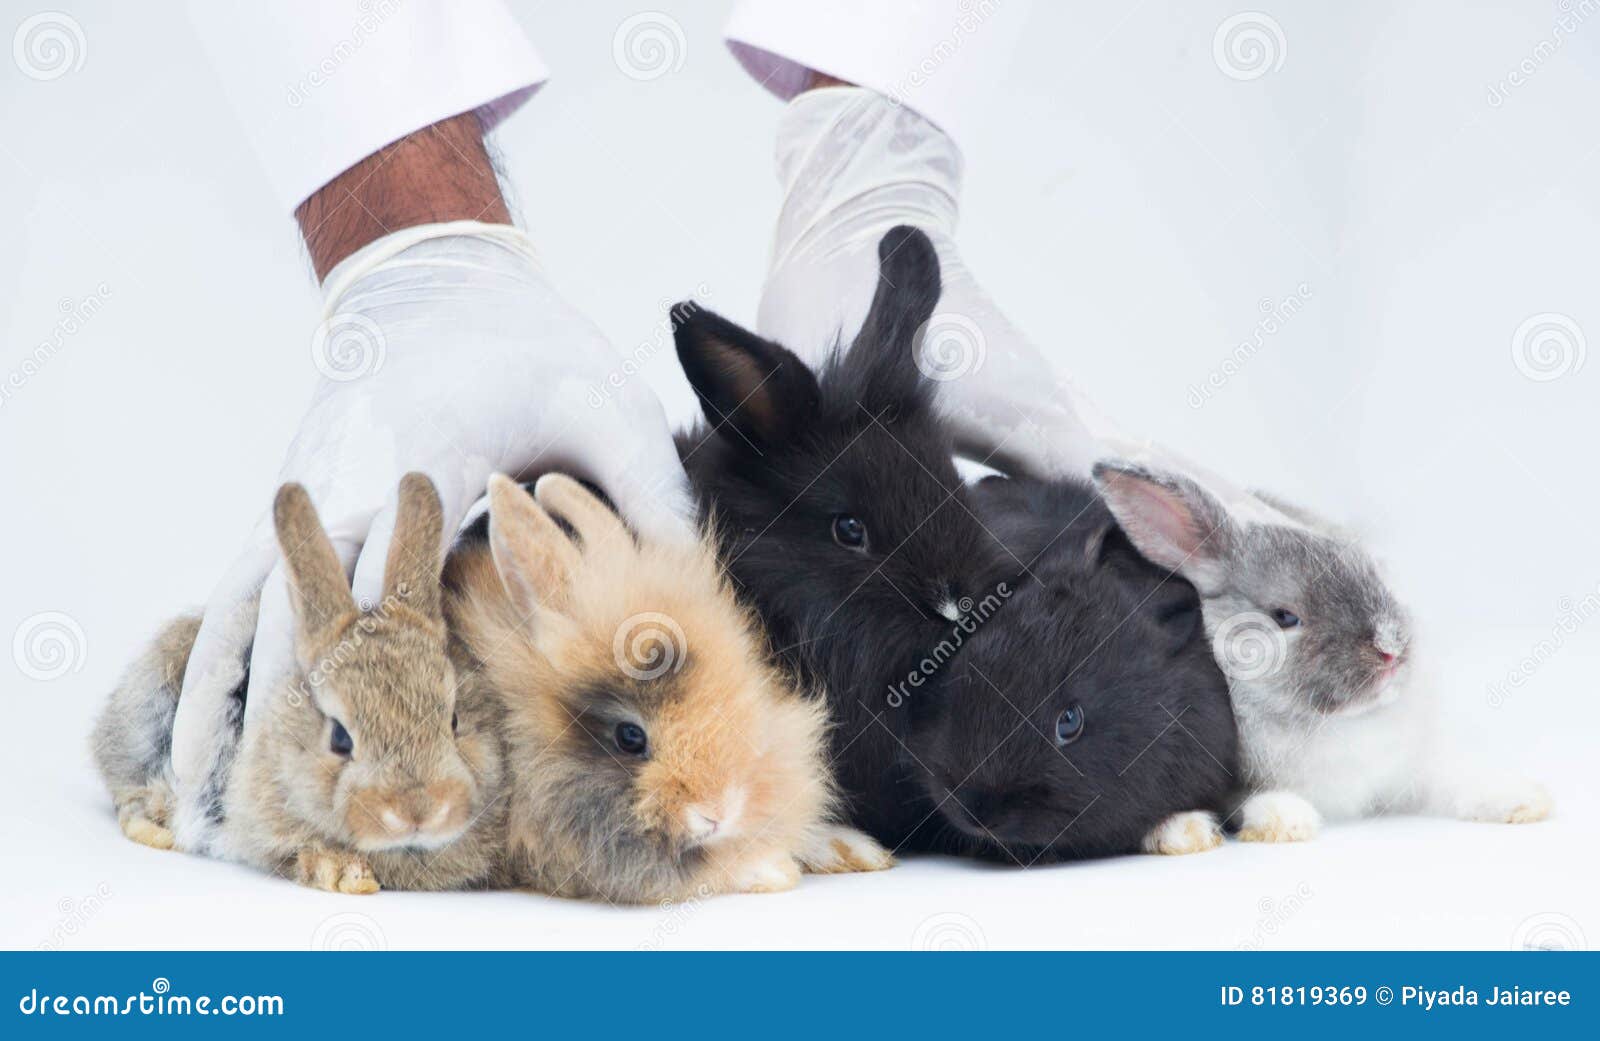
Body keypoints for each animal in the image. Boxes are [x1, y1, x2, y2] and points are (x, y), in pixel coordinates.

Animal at [1092, 460, 1554, 842]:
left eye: (1373, 570)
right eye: (1284, 616)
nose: (1390, 649)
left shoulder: (1410, 771)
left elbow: (1452, 777)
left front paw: (1522, 800)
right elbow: (1250, 802)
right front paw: (1286, 820)